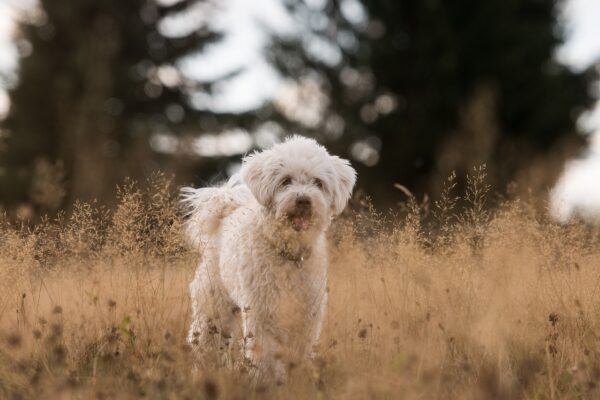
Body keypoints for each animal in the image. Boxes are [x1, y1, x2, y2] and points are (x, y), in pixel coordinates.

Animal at [180, 135, 354, 382]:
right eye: (286, 181)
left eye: (318, 183)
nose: (303, 200)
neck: (288, 254)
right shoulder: (261, 313)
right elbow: (264, 354)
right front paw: (264, 381)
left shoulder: (307, 315)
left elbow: (299, 351)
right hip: (212, 307)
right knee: (204, 343)